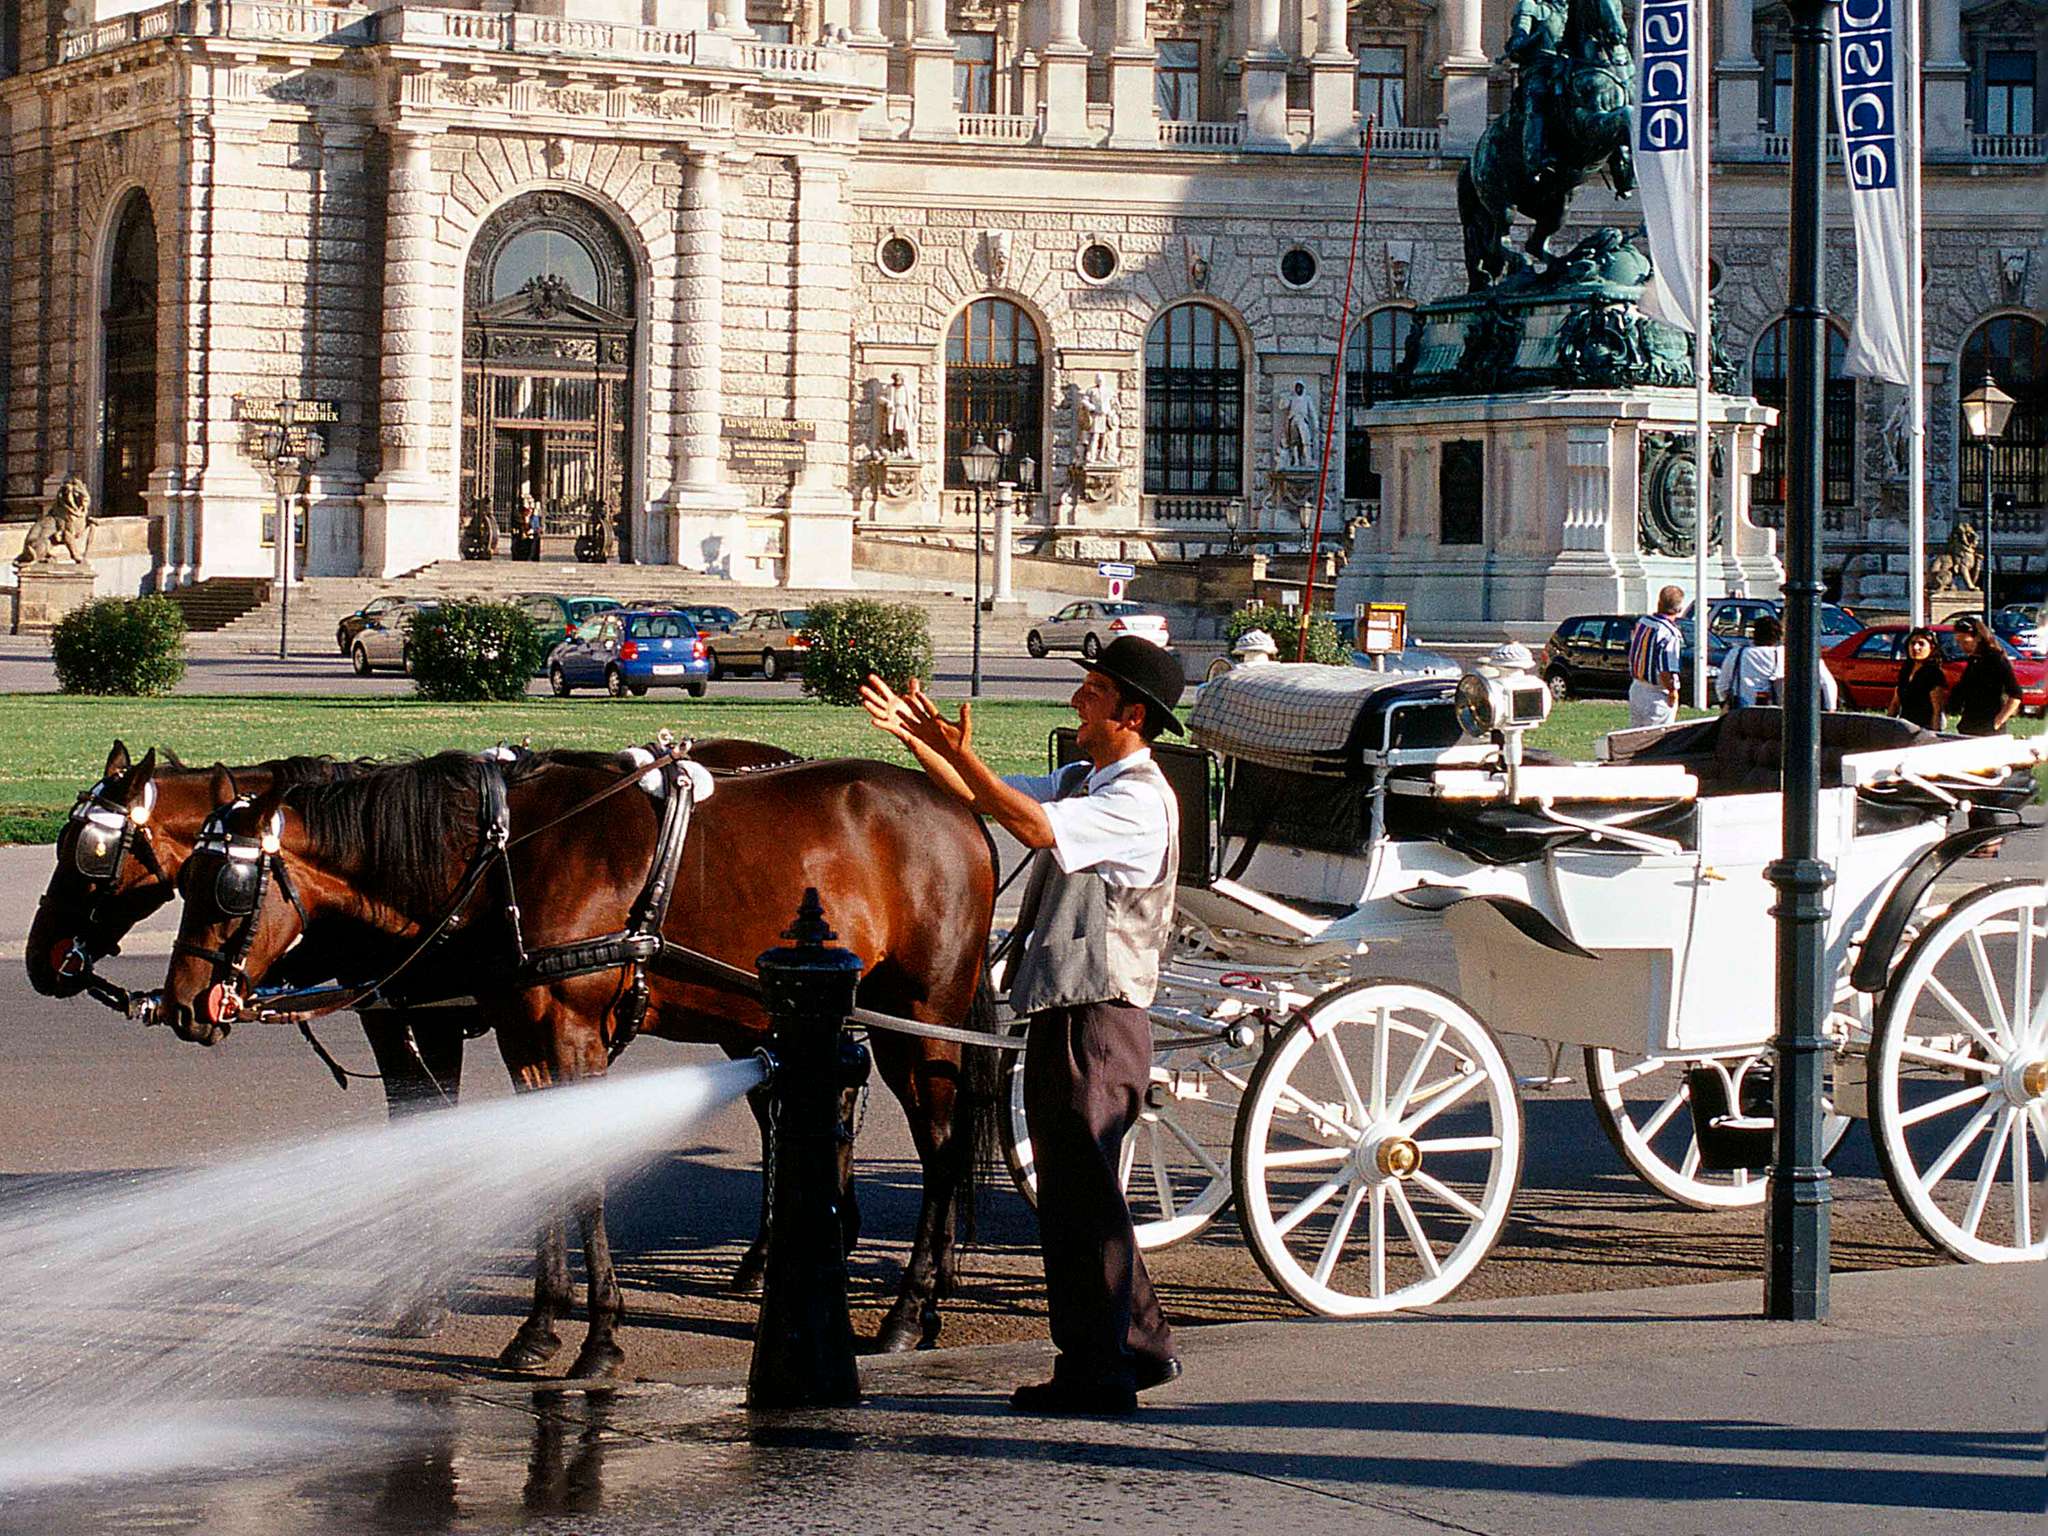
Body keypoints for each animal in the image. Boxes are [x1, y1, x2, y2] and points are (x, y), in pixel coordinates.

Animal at [155, 753, 995, 1376]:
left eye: (228, 887)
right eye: (182, 878)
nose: (182, 1003)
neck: (503, 860)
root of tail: (964, 809)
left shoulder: (571, 1039)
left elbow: (582, 1175)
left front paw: (598, 1337)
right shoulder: (522, 1041)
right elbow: (539, 1165)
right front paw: (540, 1323)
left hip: (921, 1017)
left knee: (940, 1151)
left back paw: (909, 1309)